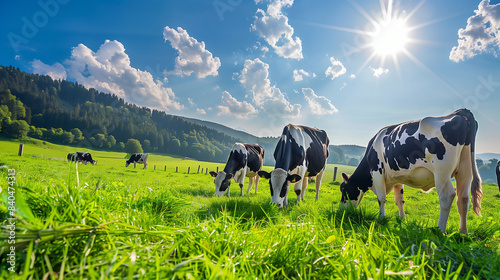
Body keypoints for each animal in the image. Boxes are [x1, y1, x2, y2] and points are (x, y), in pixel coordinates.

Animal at [338, 108, 482, 235]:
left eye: (343, 189)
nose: (341, 211)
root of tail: (458, 112)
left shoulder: (377, 171)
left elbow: (381, 198)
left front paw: (381, 218)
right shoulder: (397, 178)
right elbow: (399, 199)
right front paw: (401, 219)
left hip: (441, 171)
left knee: (447, 196)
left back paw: (440, 230)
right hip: (465, 170)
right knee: (463, 198)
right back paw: (463, 232)